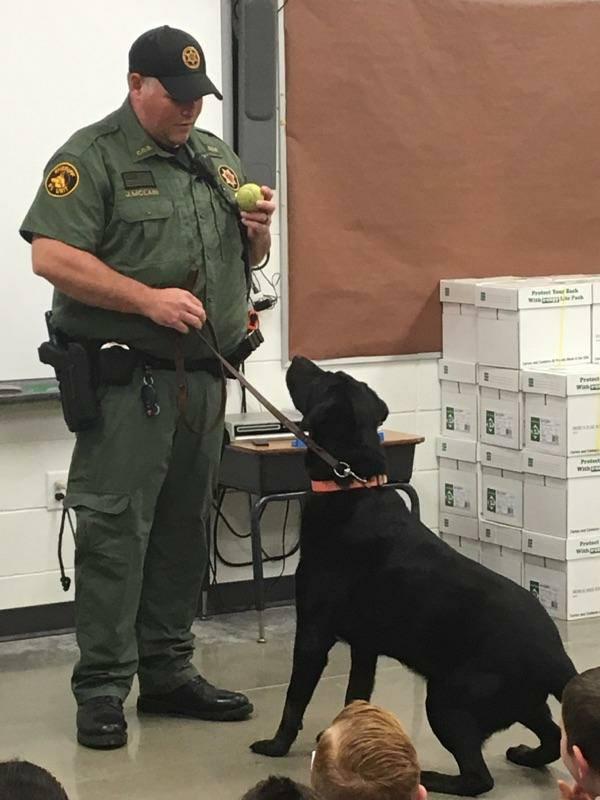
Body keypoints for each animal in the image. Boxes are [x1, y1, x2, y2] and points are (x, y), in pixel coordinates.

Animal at [248, 358, 576, 792]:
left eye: (324, 378)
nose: (298, 359)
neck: (350, 487)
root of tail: (556, 655)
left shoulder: (314, 634)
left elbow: (294, 698)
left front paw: (276, 745)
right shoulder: (364, 646)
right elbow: (355, 694)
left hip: (447, 699)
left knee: (479, 778)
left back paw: (433, 777)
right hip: (520, 701)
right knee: (553, 736)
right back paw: (525, 754)